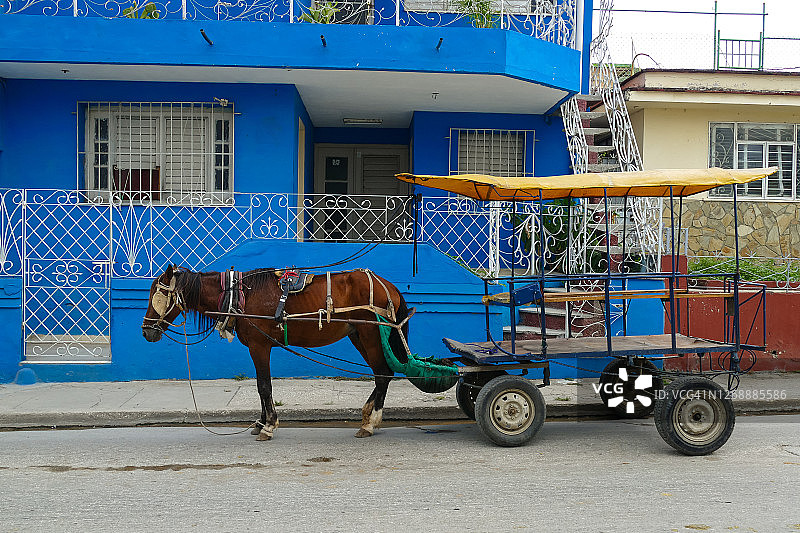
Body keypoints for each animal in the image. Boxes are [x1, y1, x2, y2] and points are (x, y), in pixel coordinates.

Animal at [140, 264, 410, 440]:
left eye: (157, 294)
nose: (146, 331)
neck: (239, 296)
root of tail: (389, 286)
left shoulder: (260, 346)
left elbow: (264, 386)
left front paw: (269, 426)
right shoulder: (258, 347)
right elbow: (261, 385)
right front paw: (260, 423)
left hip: (371, 334)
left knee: (383, 374)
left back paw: (370, 423)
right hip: (358, 335)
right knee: (382, 373)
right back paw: (368, 416)